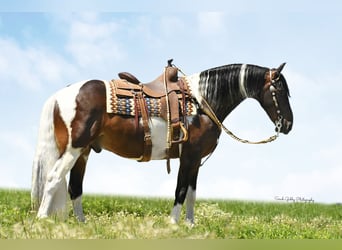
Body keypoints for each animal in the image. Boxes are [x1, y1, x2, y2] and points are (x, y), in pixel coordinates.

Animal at [32, 61, 292, 224]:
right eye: (279, 90)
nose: (288, 125)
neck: (202, 102)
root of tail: (60, 94)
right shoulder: (188, 157)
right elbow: (180, 190)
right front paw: (173, 224)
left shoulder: (195, 160)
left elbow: (192, 193)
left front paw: (190, 225)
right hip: (73, 150)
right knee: (53, 179)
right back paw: (43, 220)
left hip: (83, 152)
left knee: (75, 187)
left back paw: (82, 224)